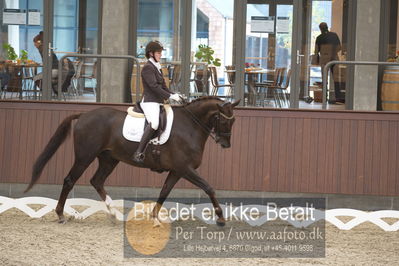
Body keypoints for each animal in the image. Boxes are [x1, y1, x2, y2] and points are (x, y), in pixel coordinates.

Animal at [25, 96, 241, 225]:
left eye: (234, 121)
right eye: (223, 120)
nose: (225, 144)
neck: (190, 126)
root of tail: (85, 114)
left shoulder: (177, 171)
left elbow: (164, 192)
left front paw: (154, 218)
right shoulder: (185, 169)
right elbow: (209, 188)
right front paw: (221, 218)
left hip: (109, 159)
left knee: (97, 181)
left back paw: (113, 214)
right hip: (84, 157)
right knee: (70, 180)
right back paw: (61, 215)